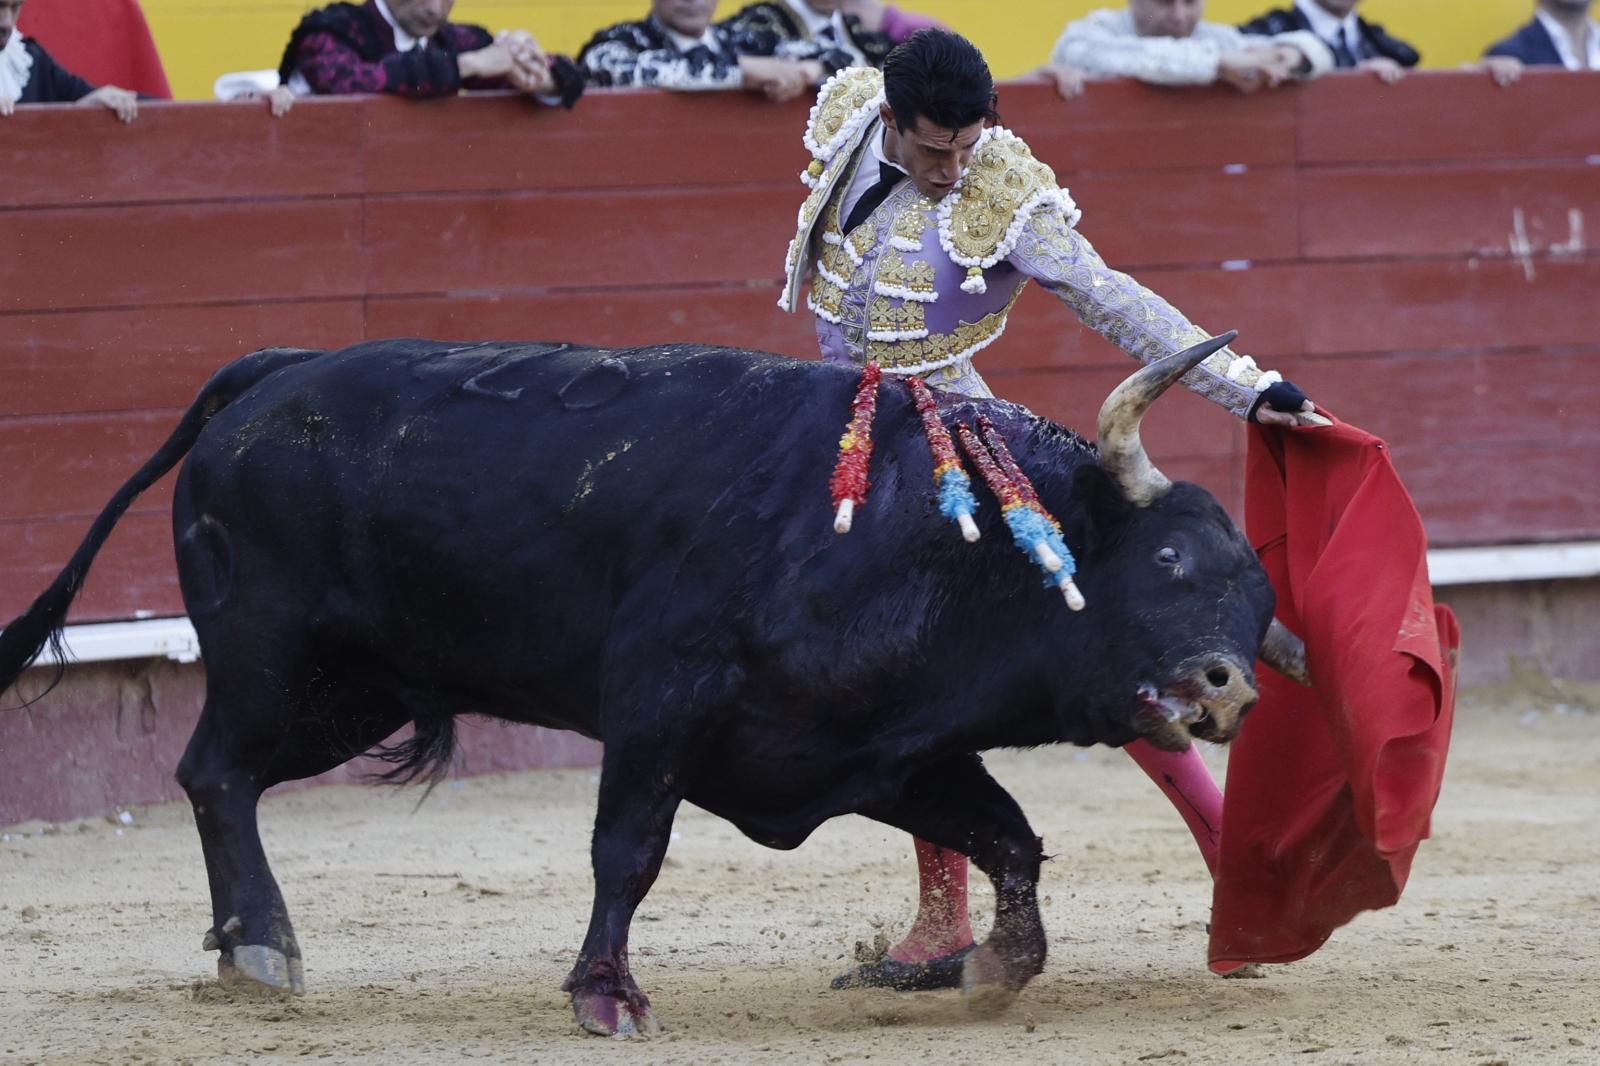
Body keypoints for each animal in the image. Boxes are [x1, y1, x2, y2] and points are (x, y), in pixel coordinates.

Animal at [0, 336, 1305, 1030]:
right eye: (1169, 562)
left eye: (1259, 605)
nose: (1226, 688)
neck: (943, 533)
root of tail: (278, 371)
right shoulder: (657, 706)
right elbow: (626, 851)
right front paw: (603, 995)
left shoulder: (870, 750)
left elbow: (1009, 836)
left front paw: (986, 969)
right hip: (276, 658)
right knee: (215, 771)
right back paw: (265, 946)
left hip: (352, 690)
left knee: (216, 774)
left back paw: (246, 946)